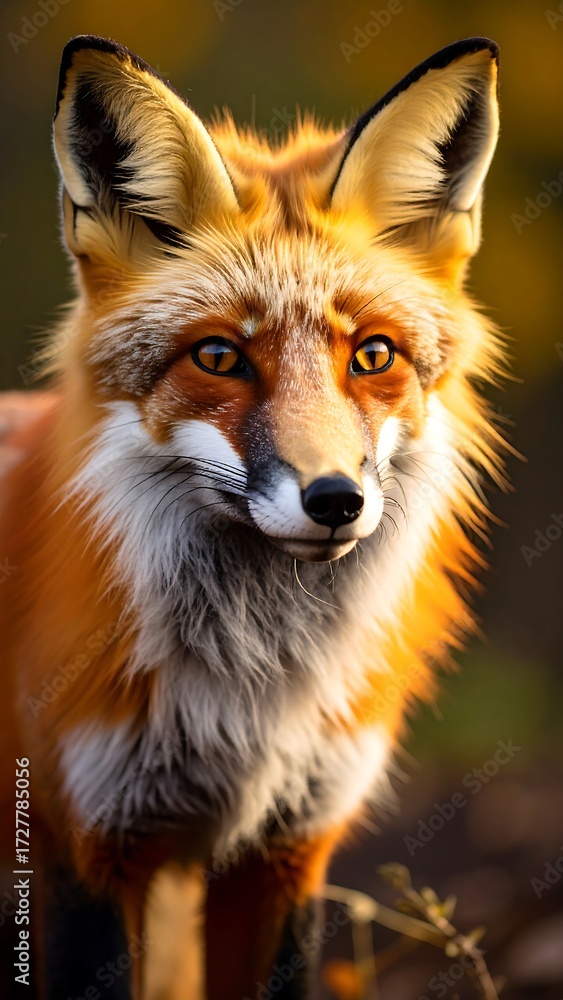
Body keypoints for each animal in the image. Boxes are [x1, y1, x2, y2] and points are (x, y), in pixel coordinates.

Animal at [0, 33, 506, 1000]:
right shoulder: (86, 843)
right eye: (219, 357)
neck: (249, 694)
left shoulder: (288, 848)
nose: (336, 500)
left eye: (372, 355)